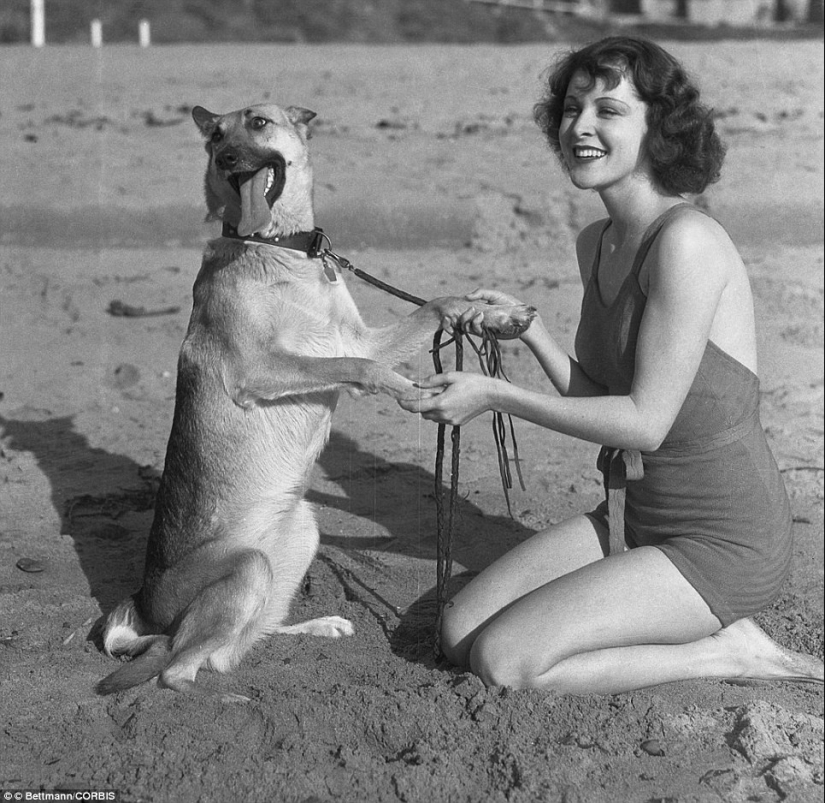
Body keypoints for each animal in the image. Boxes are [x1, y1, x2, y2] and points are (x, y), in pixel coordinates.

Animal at [98, 103, 536, 700]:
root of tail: (146, 611)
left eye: (258, 122)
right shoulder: (264, 368)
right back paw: (232, 697)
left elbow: (441, 304)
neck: (282, 248)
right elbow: (360, 369)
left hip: (301, 530)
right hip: (248, 569)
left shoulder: (361, 338)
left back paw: (319, 627)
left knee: (226, 651)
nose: (226, 157)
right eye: (215, 136)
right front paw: (413, 392)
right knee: (179, 669)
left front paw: (497, 312)